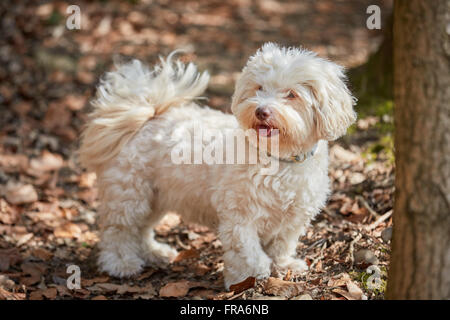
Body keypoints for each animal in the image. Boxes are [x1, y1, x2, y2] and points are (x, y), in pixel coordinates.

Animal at [79, 41, 356, 288]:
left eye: (292, 94)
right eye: (259, 88)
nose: (262, 111)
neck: (278, 158)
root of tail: (149, 115)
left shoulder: (292, 218)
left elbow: (282, 245)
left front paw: (284, 265)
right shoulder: (240, 216)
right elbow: (247, 251)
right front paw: (250, 277)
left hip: (156, 196)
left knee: (142, 228)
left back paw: (154, 252)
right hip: (130, 193)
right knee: (120, 230)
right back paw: (120, 263)